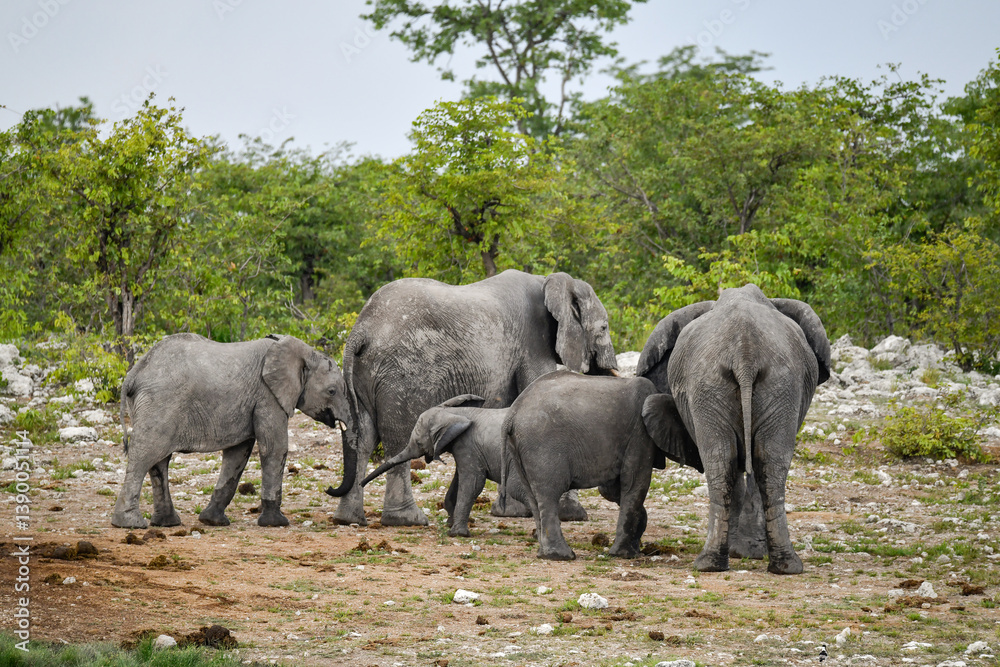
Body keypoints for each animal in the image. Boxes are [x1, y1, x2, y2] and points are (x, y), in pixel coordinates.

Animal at [112, 333, 355, 530]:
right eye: (332, 391)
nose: (329, 488)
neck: (303, 352)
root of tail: (134, 373)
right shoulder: (268, 395)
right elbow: (274, 448)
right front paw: (276, 523)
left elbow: (237, 454)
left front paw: (211, 521)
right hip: (159, 404)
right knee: (145, 454)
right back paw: (131, 524)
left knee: (159, 461)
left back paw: (167, 523)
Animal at [360, 394, 588, 537]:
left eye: (417, 443)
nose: (361, 484)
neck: (458, 412)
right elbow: (460, 479)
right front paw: (453, 524)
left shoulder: (467, 445)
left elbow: (472, 483)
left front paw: (456, 533)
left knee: (520, 489)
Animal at [503, 371, 694, 561]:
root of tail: (512, 414)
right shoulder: (639, 434)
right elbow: (634, 481)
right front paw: (625, 555)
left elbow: (612, 489)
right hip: (543, 448)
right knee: (549, 494)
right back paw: (563, 556)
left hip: (520, 450)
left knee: (532, 495)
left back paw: (545, 554)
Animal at [637, 284, 831, 574]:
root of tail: (745, 352)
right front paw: (746, 552)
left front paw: (746, 552)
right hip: (763, 385)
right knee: (760, 463)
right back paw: (775, 565)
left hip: (737, 385)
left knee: (730, 462)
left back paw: (718, 563)